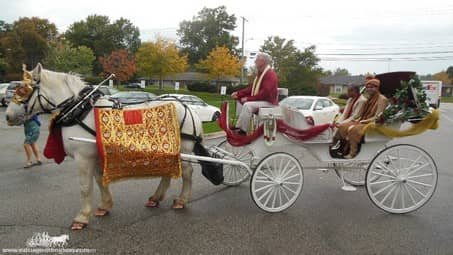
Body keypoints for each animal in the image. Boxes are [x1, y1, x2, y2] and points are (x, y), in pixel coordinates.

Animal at [5, 63, 201, 229]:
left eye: (23, 90)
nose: (7, 116)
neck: (79, 110)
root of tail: (188, 106)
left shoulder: (83, 157)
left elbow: (85, 187)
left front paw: (82, 217)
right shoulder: (97, 154)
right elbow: (100, 180)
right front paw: (104, 206)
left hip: (184, 148)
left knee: (187, 172)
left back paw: (182, 200)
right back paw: (156, 198)